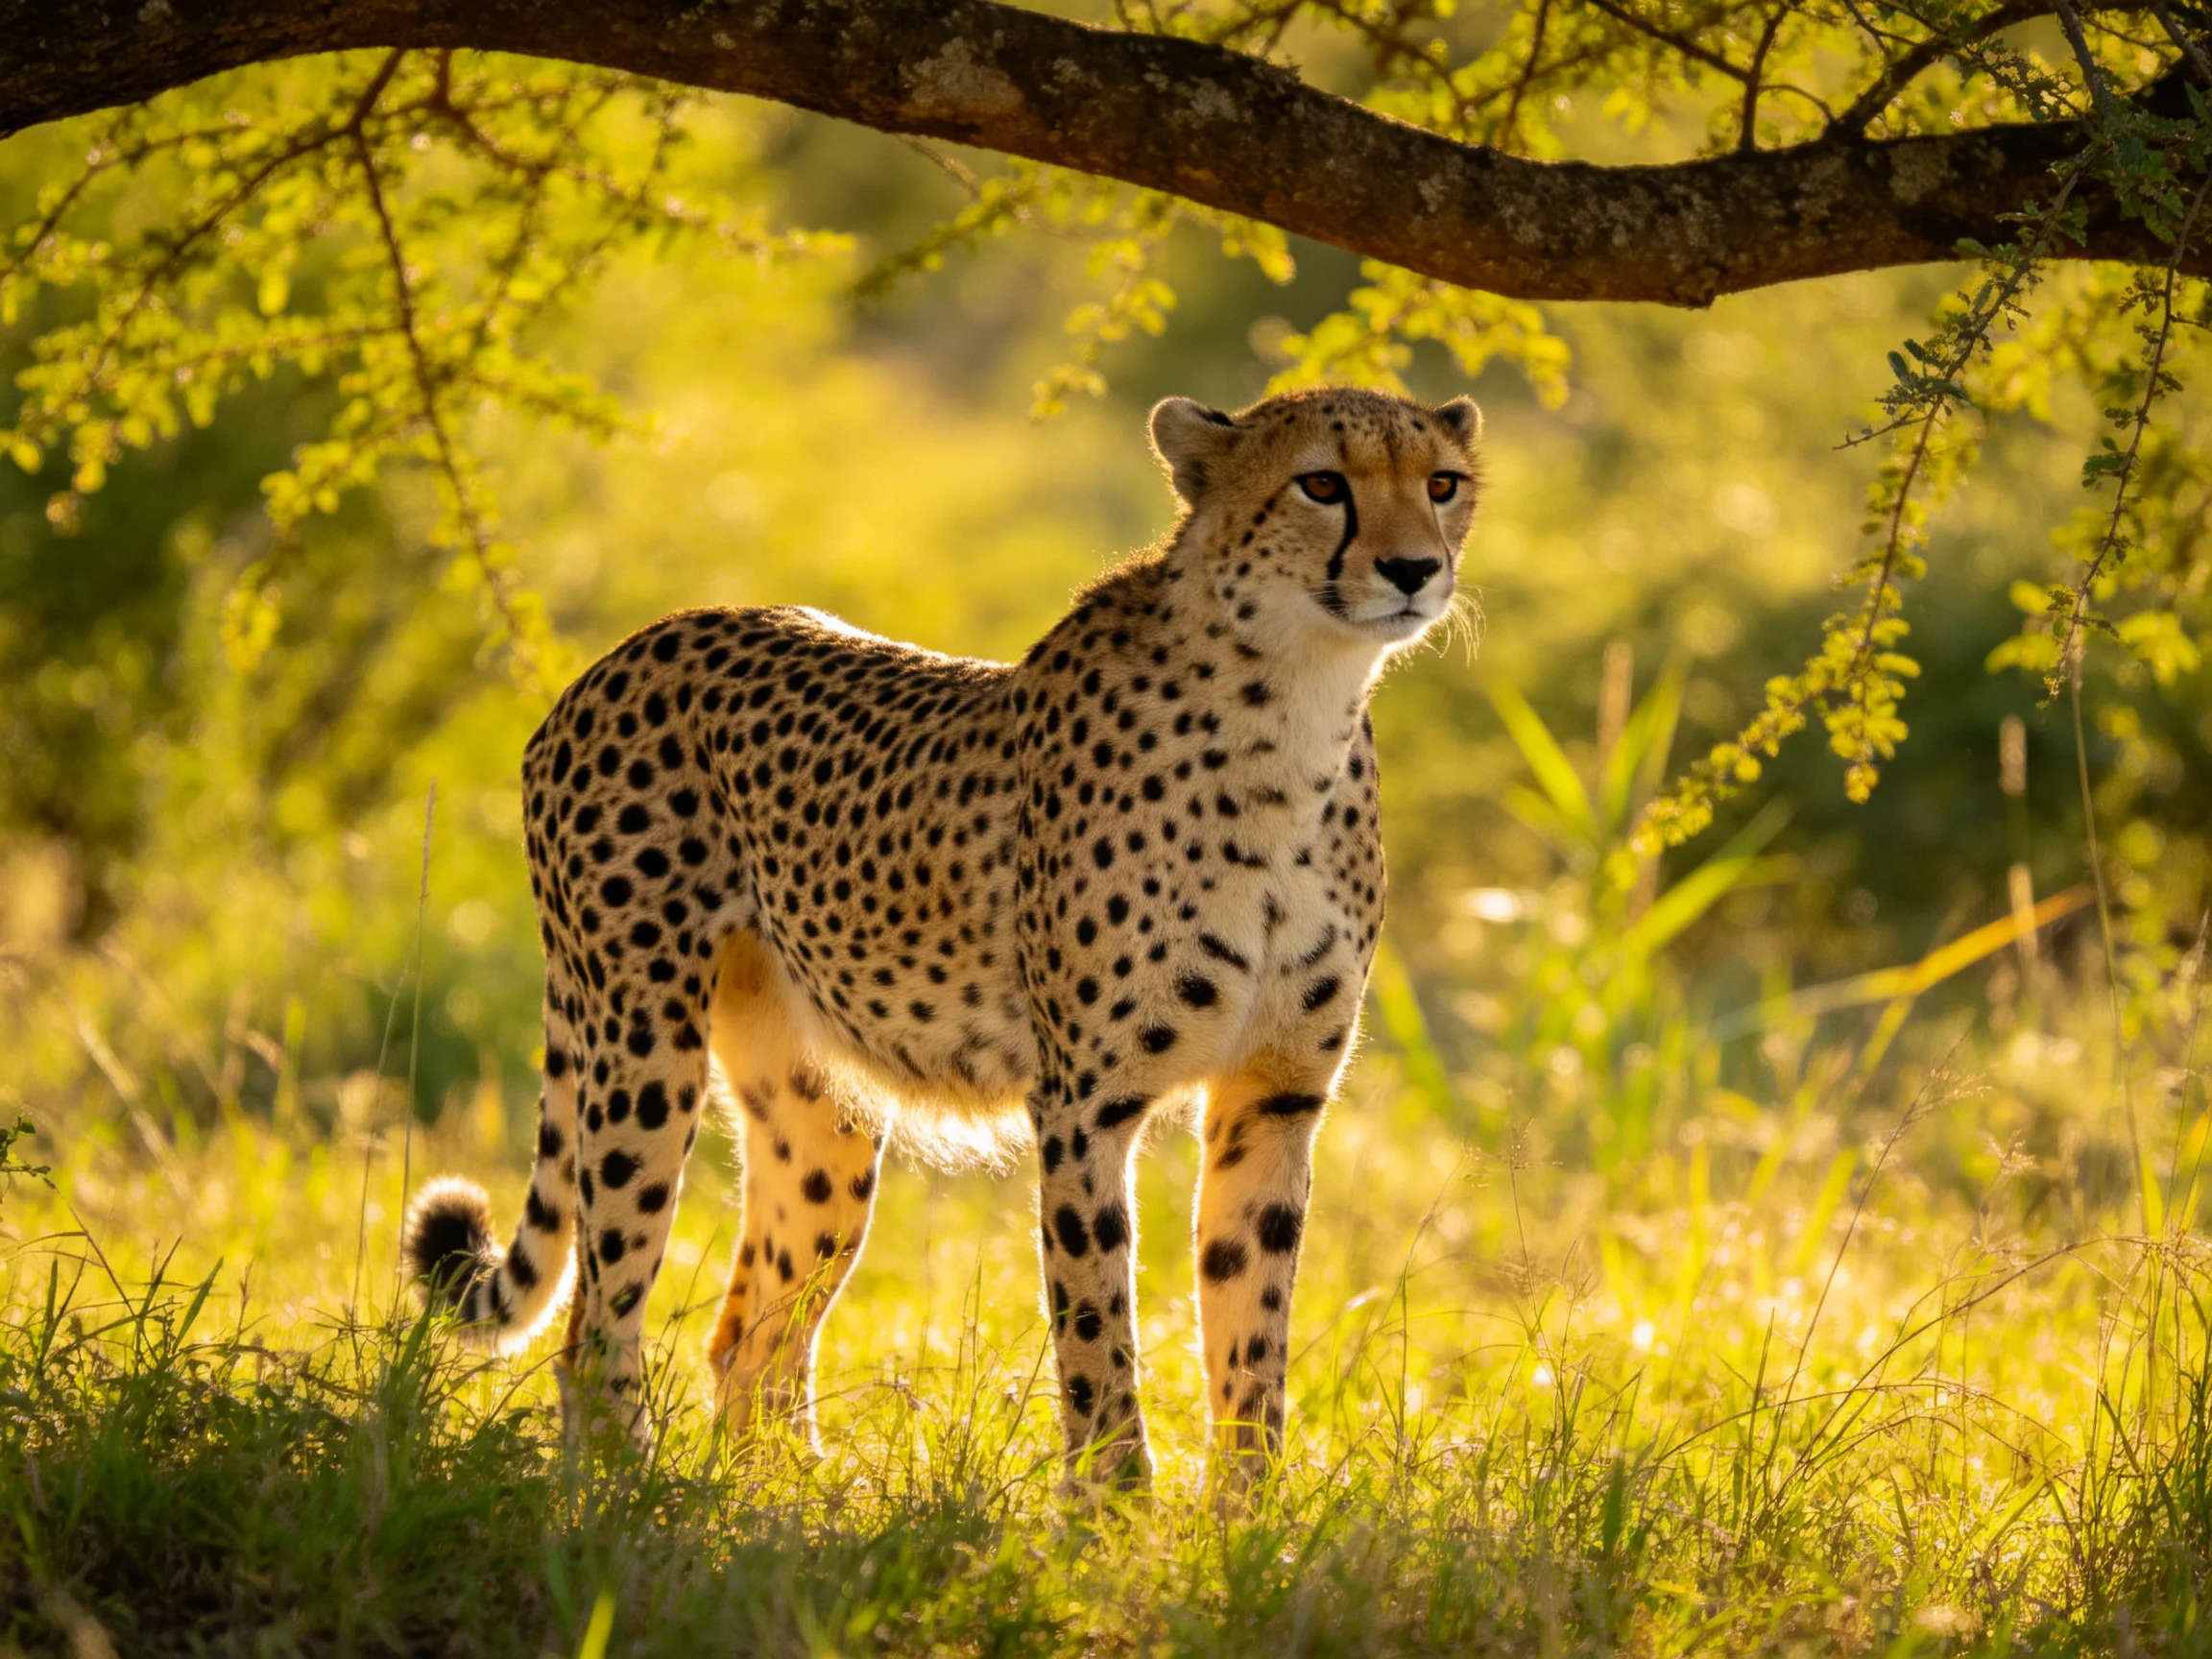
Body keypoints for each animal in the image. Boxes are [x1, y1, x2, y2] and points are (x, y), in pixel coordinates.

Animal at [401, 384, 1482, 1486]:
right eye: (1322, 483)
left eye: (1442, 483)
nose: (1413, 568)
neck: (1295, 713)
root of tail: (626, 651)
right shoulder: (1085, 1104)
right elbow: (1097, 1330)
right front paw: (1115, 1511)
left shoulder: (1275, 1097)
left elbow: (1249, 1328)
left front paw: (1247, 1513)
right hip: (641, 1047)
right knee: (596, 1321)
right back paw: (627, 1492)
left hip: (819, 1115)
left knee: (751, 1333)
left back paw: (785, 1497)